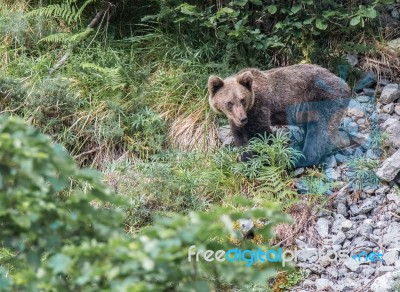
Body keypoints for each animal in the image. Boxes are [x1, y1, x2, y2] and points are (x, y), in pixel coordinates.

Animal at [208, 64, 352, 167]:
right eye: (229, 103)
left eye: (243, 100)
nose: (242, 119)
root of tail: (344, 83)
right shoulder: (236, 120)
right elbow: (241, 139)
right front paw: (246, 160)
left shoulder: (260, 108)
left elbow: (262, 134)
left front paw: (262, 160)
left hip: (324, 99)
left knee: (319, 131)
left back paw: (301, 159)